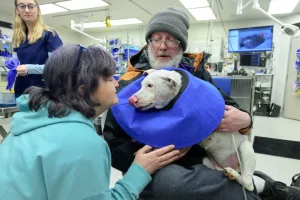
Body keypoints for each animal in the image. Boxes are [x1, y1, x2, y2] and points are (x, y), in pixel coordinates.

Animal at [127, 69, 256, 192]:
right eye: (141, 85)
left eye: (150, 85)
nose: (131, 100)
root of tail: (235, 167)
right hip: (208, 162)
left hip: (245, 149)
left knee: (248, 184)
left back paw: (233, 174)